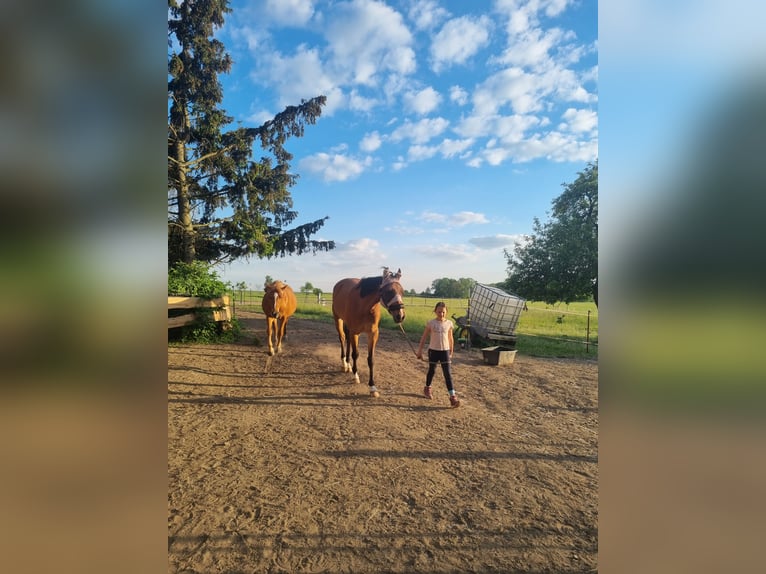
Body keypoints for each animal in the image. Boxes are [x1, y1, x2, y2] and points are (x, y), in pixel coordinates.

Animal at [332, 267, 406, 397]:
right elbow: (355, 354)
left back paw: (348, 365)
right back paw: (344, 364)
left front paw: (372, 387)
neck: (364, 306)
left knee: (347, 339)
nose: (400, 316)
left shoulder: (373, 334)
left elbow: (371, 359)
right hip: (338, 319)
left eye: (402, 292)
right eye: (388, 291)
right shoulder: (355, 332)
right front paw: (356, 376)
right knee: (342, 338)